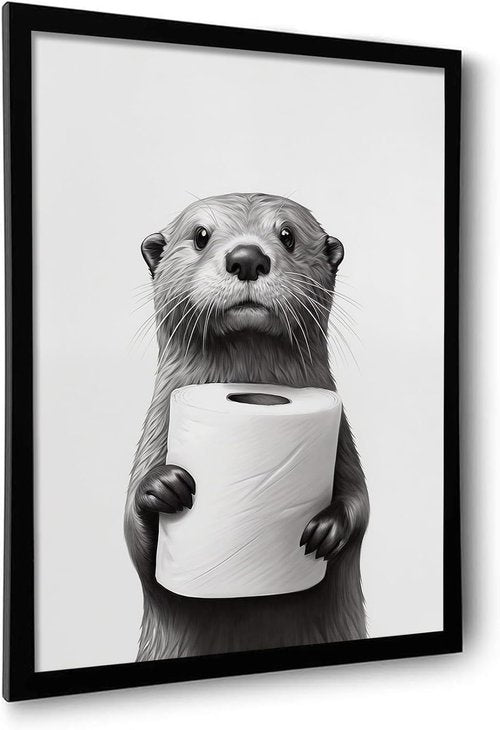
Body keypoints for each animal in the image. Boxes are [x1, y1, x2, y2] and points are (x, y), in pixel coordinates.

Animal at [124, 193, 369, 661]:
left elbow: (361, 504)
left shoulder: (343, 440)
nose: (247, 258)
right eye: (201, 235)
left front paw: (328, 529)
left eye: (288, 235)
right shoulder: (155, 434)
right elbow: (135, 540)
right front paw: (162, 487)